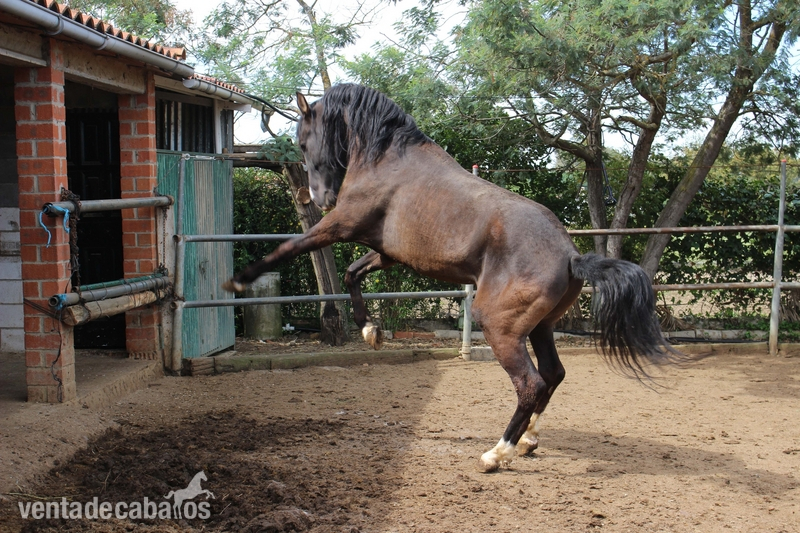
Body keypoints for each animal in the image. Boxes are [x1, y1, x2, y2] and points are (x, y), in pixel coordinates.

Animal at [223, 83, 679, 472]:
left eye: (303, 142)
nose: (320, 198)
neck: (387, 159)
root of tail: (571, 255)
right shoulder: (387, 253)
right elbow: (353, 274)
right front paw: (371, 332)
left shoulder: (341, 224)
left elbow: (287, 248)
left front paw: (238, 281)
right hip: (540, 327)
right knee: (553, 375)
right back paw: (528, 441)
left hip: (499, 326)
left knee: (530, 383)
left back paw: (497, 453)